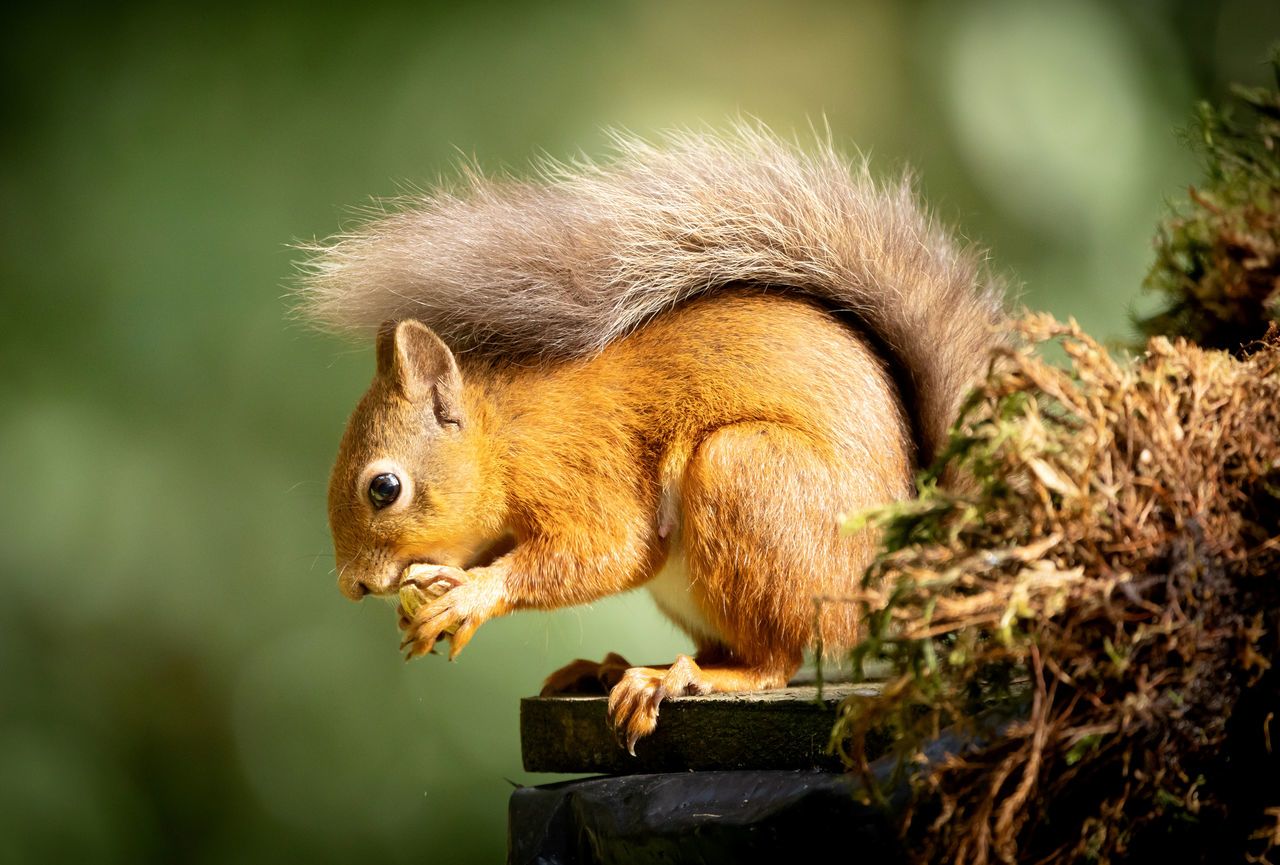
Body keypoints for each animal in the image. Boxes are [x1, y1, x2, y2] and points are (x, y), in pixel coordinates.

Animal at [299, 128, 998, 752]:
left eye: (384, 488)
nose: (353, 586)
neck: (504, 439)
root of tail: (895, 572)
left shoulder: (581, 469)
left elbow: (610, 550)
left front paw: (471, 595)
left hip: (745, 475)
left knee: (776, 658)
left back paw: (689, 678)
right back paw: (619, 668)